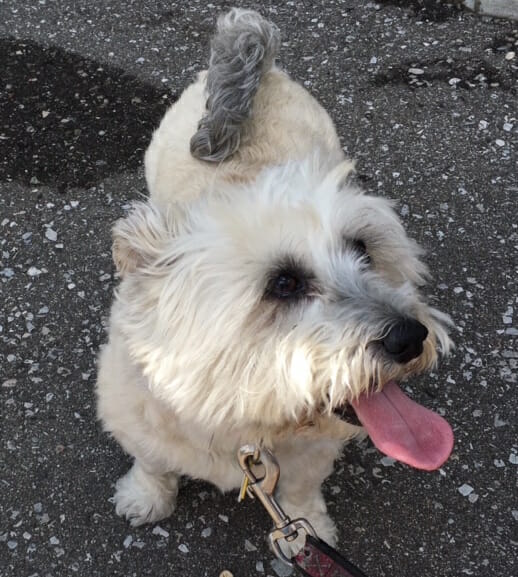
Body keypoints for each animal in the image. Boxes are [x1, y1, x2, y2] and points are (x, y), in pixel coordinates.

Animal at [96, 7, 456, 548]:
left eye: (362, 248)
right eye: (282, 284)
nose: (410, 337)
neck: (245, 419)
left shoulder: (312, 454)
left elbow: (302, 490)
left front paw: (308, 533)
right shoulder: (135, 417)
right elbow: (154, 463)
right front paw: (147, 497)